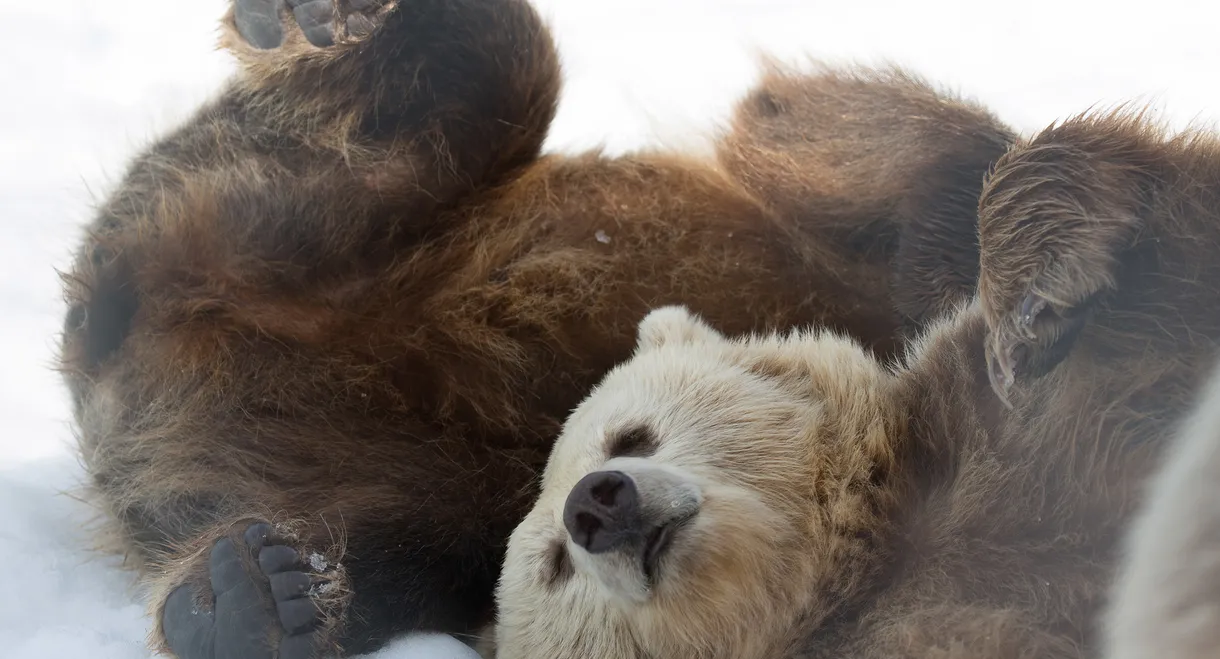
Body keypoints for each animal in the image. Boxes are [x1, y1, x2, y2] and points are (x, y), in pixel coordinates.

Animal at [55, 0, 1015, 656]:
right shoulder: (824, 213)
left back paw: (252, 598)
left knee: (399, 549)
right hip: (304, 209)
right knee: (485, 74)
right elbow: (876, 143)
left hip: (393, 476)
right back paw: (324, 19)